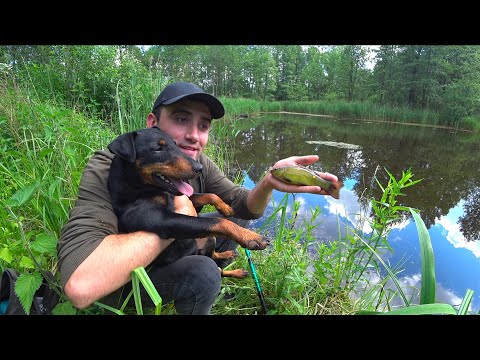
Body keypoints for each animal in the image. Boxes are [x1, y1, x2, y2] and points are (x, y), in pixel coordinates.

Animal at [106, 126, 270, 278]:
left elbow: (210, 195)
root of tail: (198, 250)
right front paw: (252, 237)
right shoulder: (161, 219)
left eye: (175, 144)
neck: (140, 188)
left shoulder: (184, 197)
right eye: (158, 149)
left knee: (216, 260)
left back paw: (231, 260)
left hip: (210, 237)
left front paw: (225, 208)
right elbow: (219, 221)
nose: (200, 168)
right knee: (217, 268)